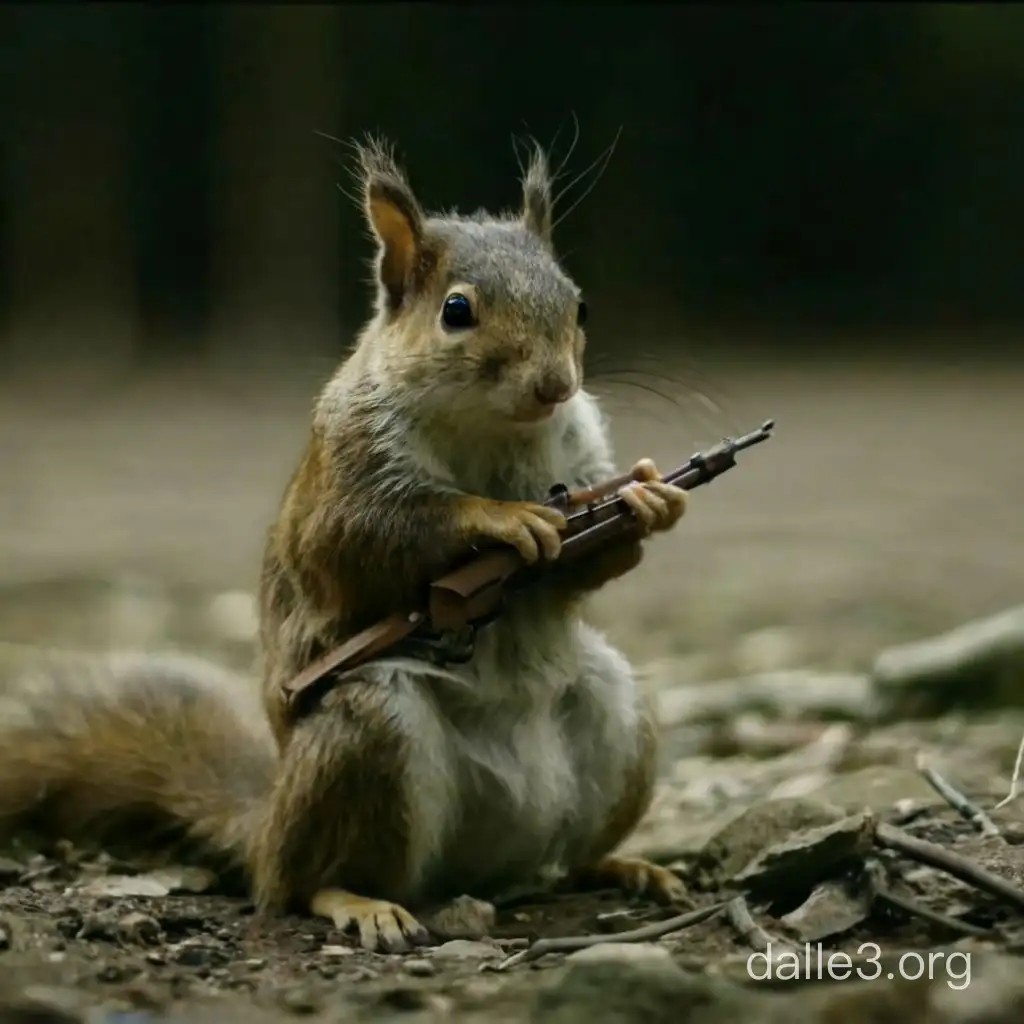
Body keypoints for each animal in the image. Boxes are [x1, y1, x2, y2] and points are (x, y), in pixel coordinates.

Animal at [0, 136, 692, 950]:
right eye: (456, 311)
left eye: (578, 304)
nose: (556, 385)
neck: (491, 428)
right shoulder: (345, 473)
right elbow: (366, 538)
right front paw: (505, 519)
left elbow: (583, 562)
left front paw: (649, 499)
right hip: (366, 733)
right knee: (300, 884)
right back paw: (360, 902)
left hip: (617, 714)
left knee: (567, 858)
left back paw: (626, 867)